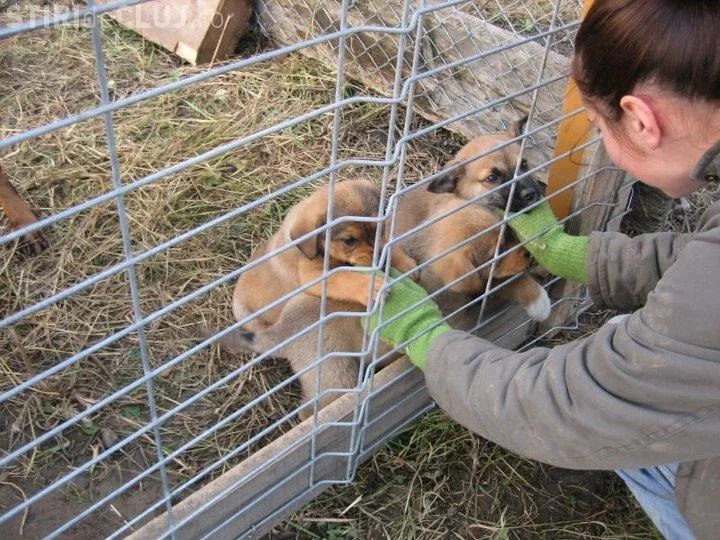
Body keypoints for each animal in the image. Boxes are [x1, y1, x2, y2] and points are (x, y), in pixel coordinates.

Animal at [232, 179, 417, 333]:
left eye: (380, 228)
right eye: (349, 241)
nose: (381, 261)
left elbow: (388, 244)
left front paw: (405, 264)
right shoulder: (312, 274)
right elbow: (343, 277)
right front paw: (371, 289)